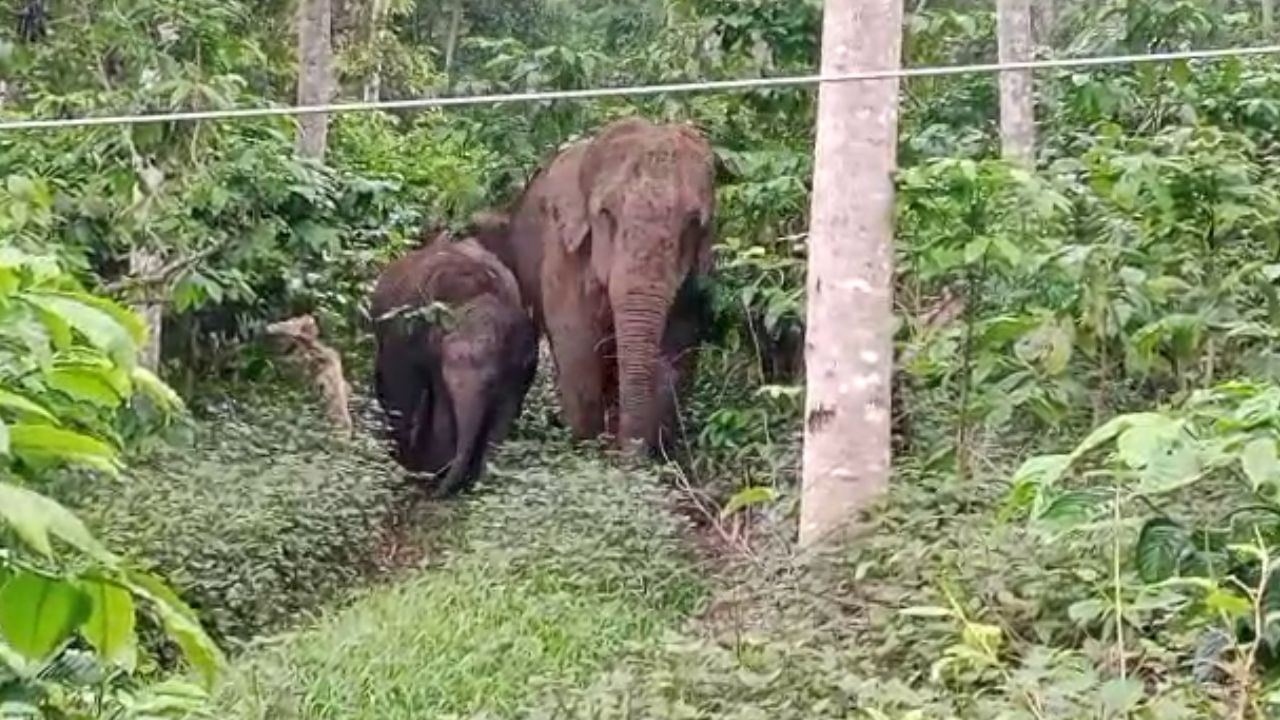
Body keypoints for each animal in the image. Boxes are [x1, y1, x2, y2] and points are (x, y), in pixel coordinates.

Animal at [488, 117, 716, 453]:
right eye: (606, 214)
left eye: (693, 223)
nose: (629, 451)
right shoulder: (565, 252)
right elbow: (577, 342)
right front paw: (591, 448)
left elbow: (679, 345)